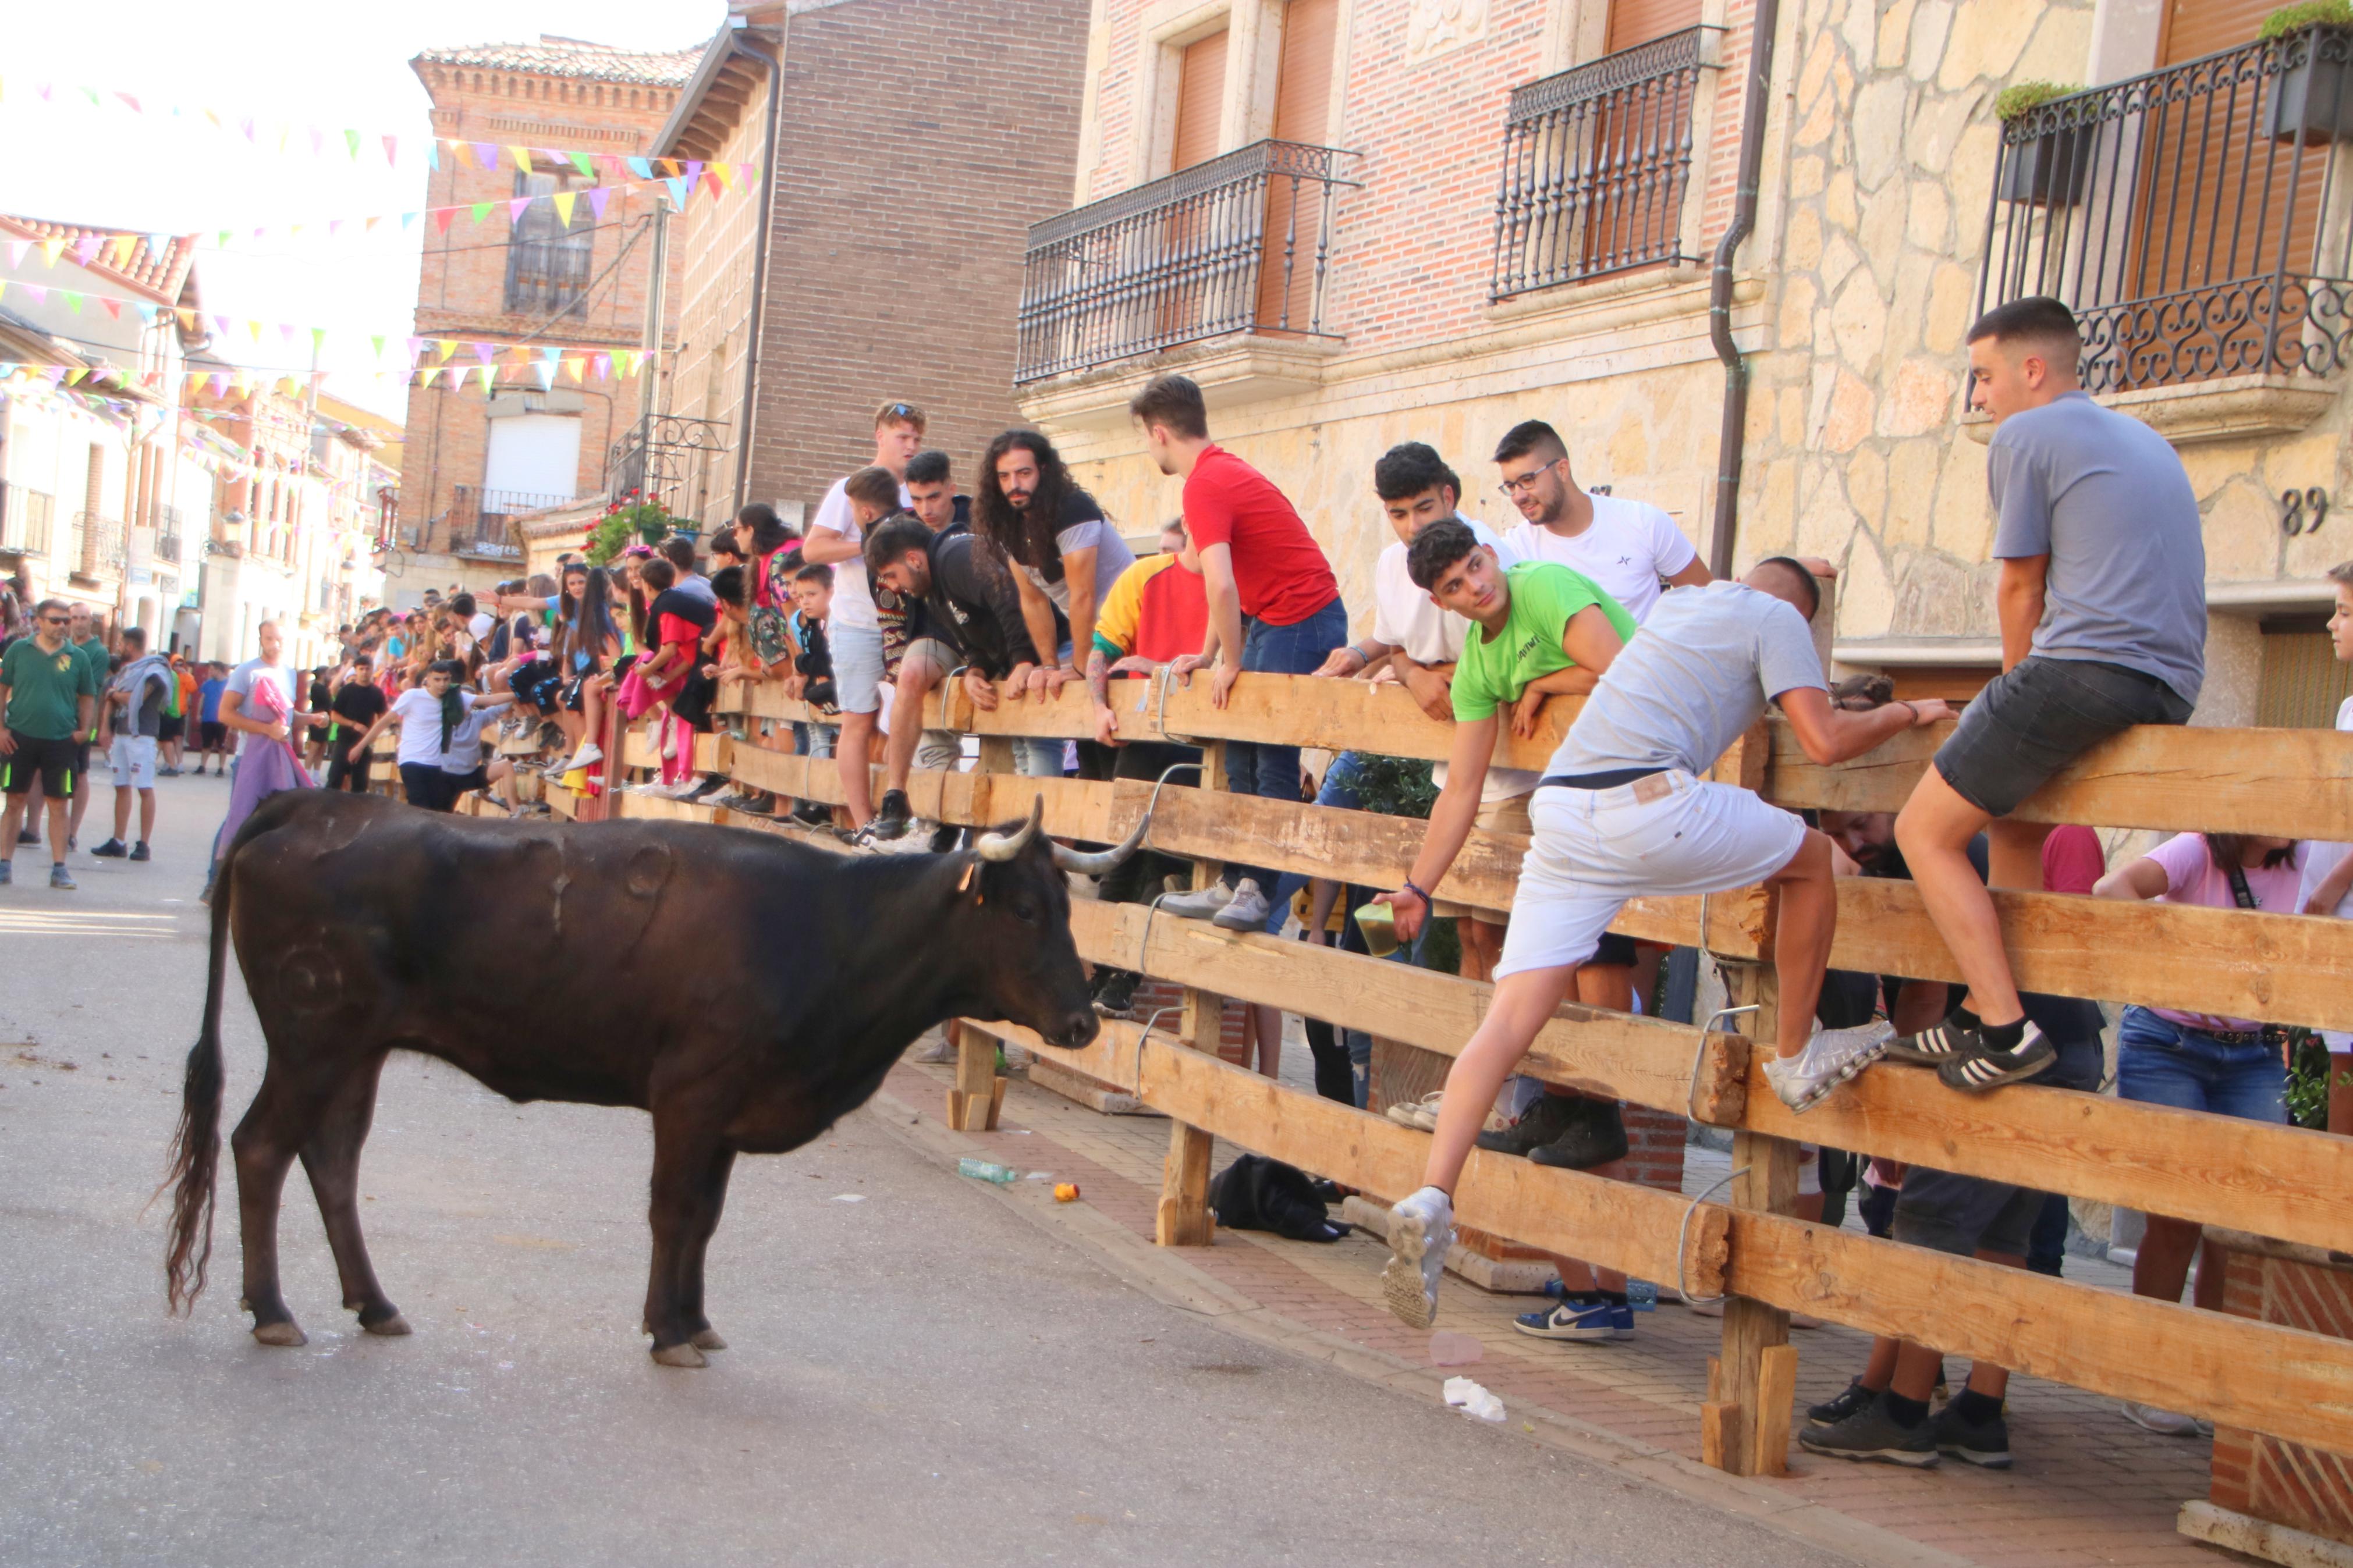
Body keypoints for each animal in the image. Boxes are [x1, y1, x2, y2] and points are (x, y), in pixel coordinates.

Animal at [161, 790, 1134, 1363]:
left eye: (1067, 905)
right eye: (1023, 907)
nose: (1083, 1024)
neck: (830, 930)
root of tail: (316, 807)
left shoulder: (729, 1110)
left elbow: (705, 1217)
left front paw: (694, 1319)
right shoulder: (690, 1095)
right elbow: (673, 1209)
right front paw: (667, 1329)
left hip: (355, 1050)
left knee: (330, 1160)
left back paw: (372, 1303)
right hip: (314, 1039)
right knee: (260, 1148)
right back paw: (271, 1308)